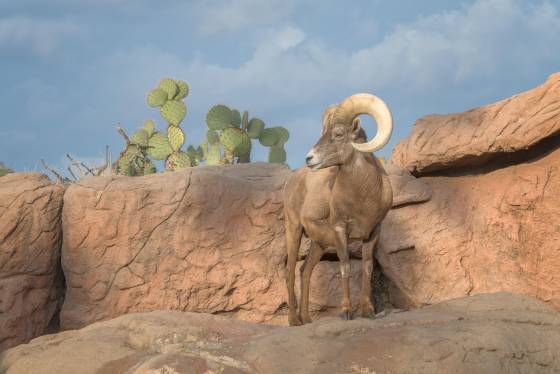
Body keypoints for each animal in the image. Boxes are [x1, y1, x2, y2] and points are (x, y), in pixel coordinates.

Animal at [282, 93, 392, 324]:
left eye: (338, 134)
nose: (309, 158)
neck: (363, 196)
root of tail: (292, 181)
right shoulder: (341, 229)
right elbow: (346, 267)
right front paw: (346, 312)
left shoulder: (373, 231)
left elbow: (367, 268)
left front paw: (367, 311)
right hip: (294, 229)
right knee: (289, 271)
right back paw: (294, 321)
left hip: (319, 243)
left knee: (305, 271)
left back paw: (307, 319)